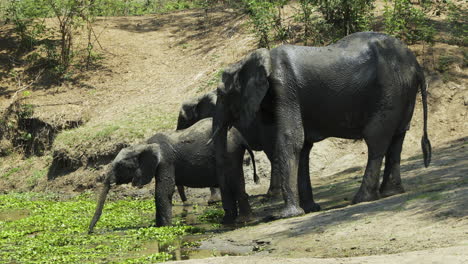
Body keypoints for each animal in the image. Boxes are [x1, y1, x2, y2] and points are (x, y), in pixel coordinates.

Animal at [89, 118, 258, 233]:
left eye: (119, 166)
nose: (90, 232)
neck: (143, 145)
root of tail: (240, 136)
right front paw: (157, 226)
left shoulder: (166, 160)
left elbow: (163, 191)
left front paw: (164, 228)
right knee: (227, 185)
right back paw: (227, 221)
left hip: (230, 151)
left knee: (234, 183)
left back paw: (242, 221)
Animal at [212, 31, 432, 219]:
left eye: (221, 95)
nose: (227, 220)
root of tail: (416, 65)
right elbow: (303, 146)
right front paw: (310, 209)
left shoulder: (285, 88)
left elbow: (291, 139)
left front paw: (285, 215)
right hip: (403, 92)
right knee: (397, 138)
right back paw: (391, 192)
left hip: (390, 91)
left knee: (376, 139)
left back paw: (362, 199)